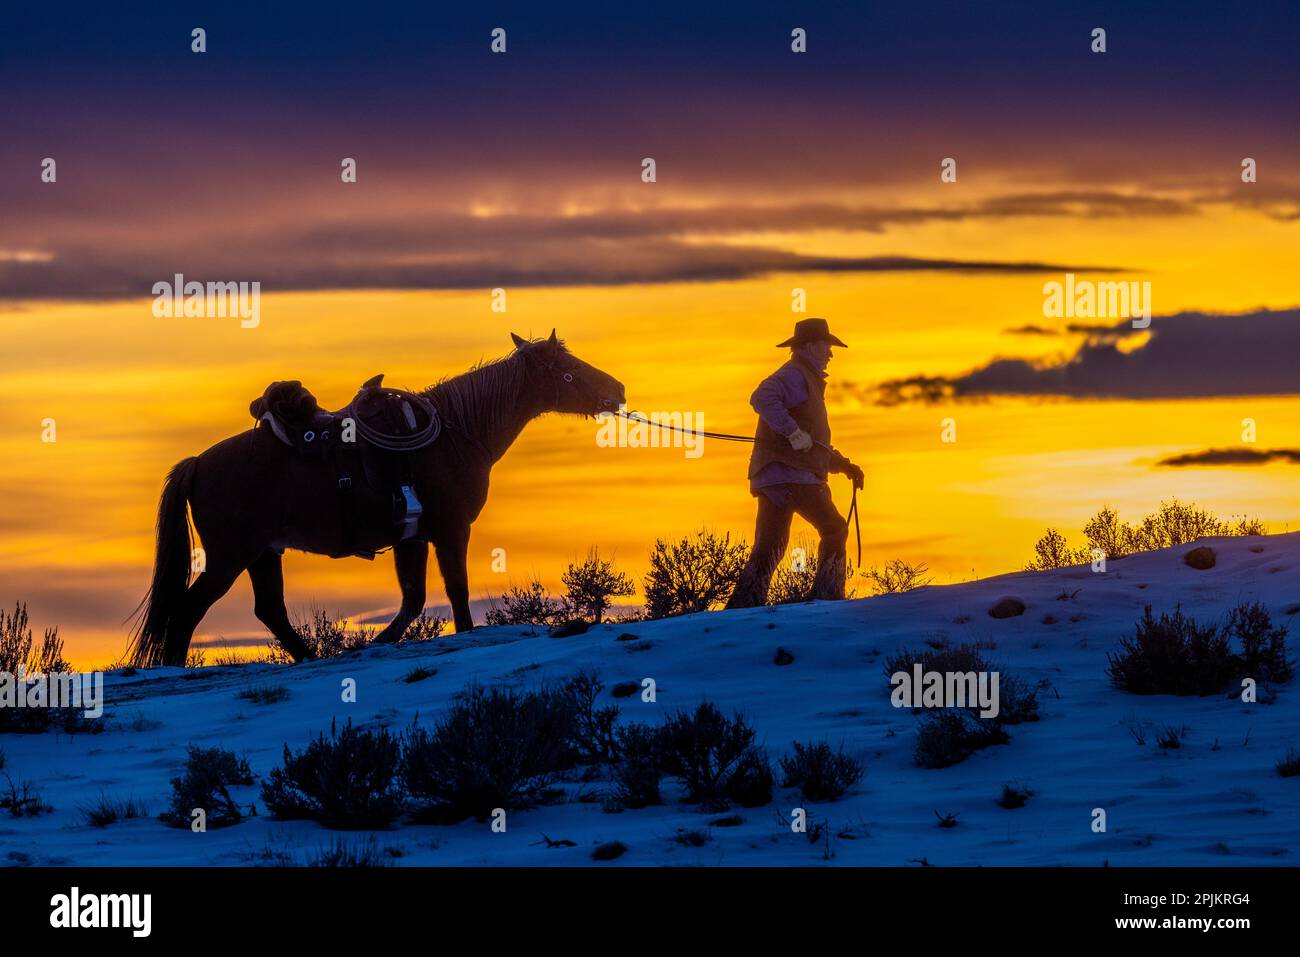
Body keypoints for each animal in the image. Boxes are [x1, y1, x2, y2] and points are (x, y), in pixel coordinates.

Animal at [129, 328, 626, 665]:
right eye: (570, 370)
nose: (618, 390)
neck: (456, 433)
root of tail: (197, 463)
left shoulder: (413, 539)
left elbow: (413, 600)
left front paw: (378, 641)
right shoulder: (451, 531)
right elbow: (457, 593)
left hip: (262, 553)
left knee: (269, 609)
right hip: (231, 556)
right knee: (189, 610)